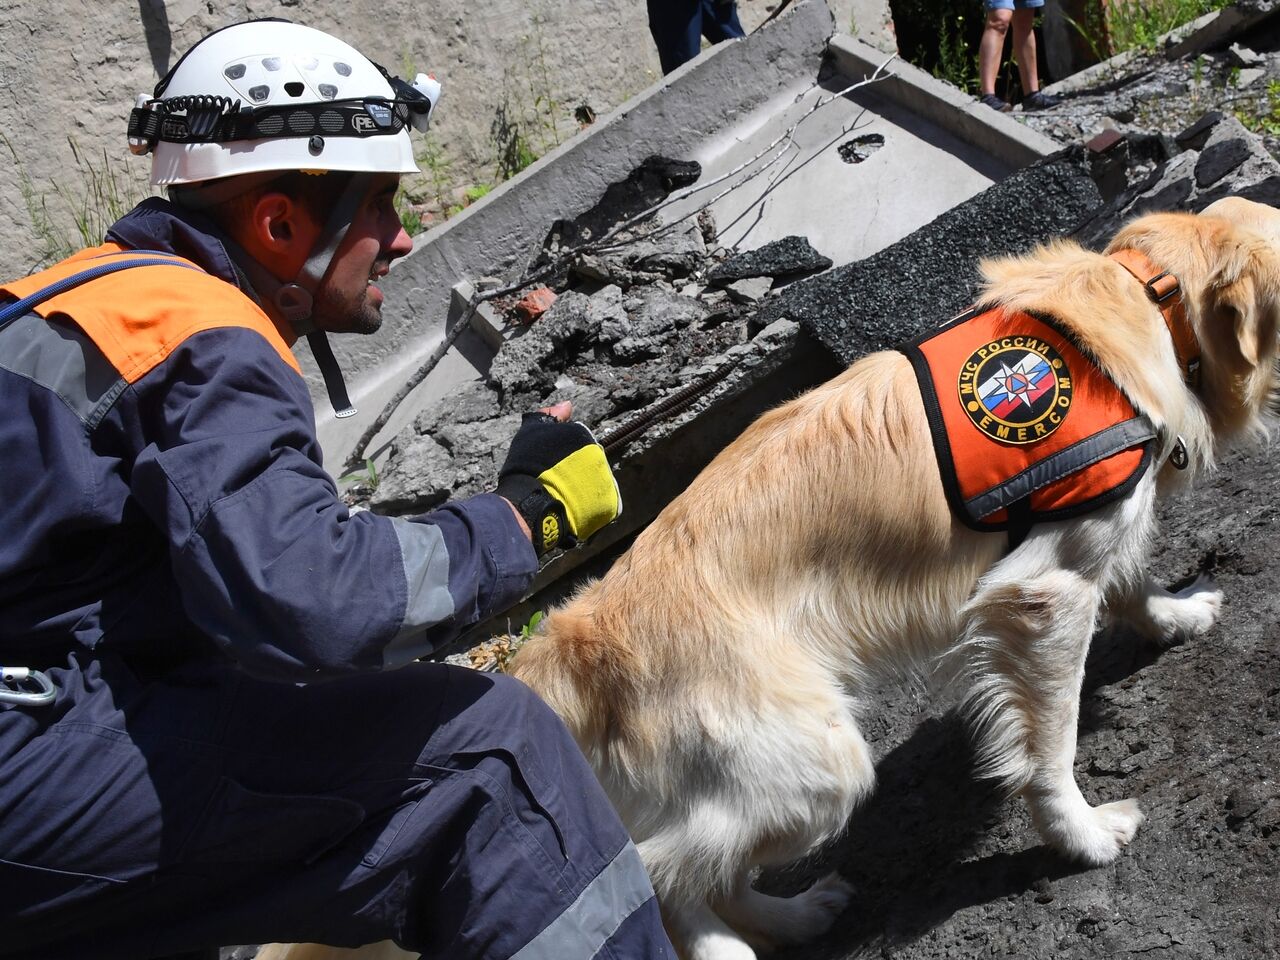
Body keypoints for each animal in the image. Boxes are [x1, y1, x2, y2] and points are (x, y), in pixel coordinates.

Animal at [267, 197, 1280, 960]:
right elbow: (1050, 749)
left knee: (711, 868)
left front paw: (1177, 616)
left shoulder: (1096, 537)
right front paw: (1082, 837)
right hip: (816, 762)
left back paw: (794, 917)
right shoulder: (1040, 597)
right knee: (662, 870)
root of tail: (573, 639)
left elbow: (1133, 579)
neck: (1143, 296)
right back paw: (728, 946)